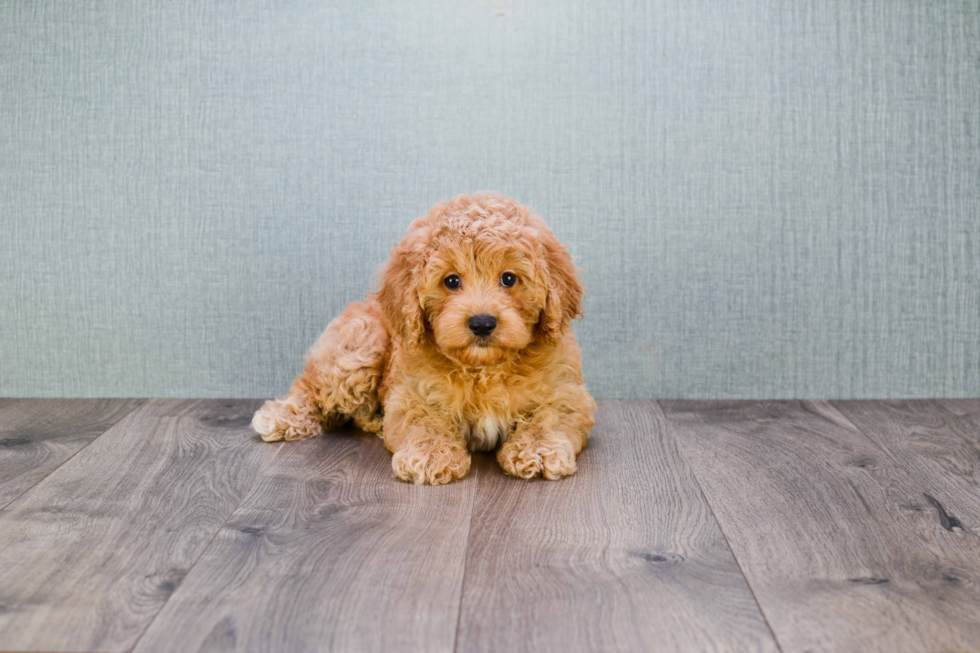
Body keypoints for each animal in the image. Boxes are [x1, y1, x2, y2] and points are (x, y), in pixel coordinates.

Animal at [249, 191, 592, 482]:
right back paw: (283, 415)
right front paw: (430, 455)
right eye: (451, 281)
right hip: (359, 345)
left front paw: (538, 449)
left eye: (509, 279)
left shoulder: (566, 391)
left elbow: (550, 416)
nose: (482, 323)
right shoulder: (413, 392)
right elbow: (423, 420)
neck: (484, 368)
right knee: (312, 386)